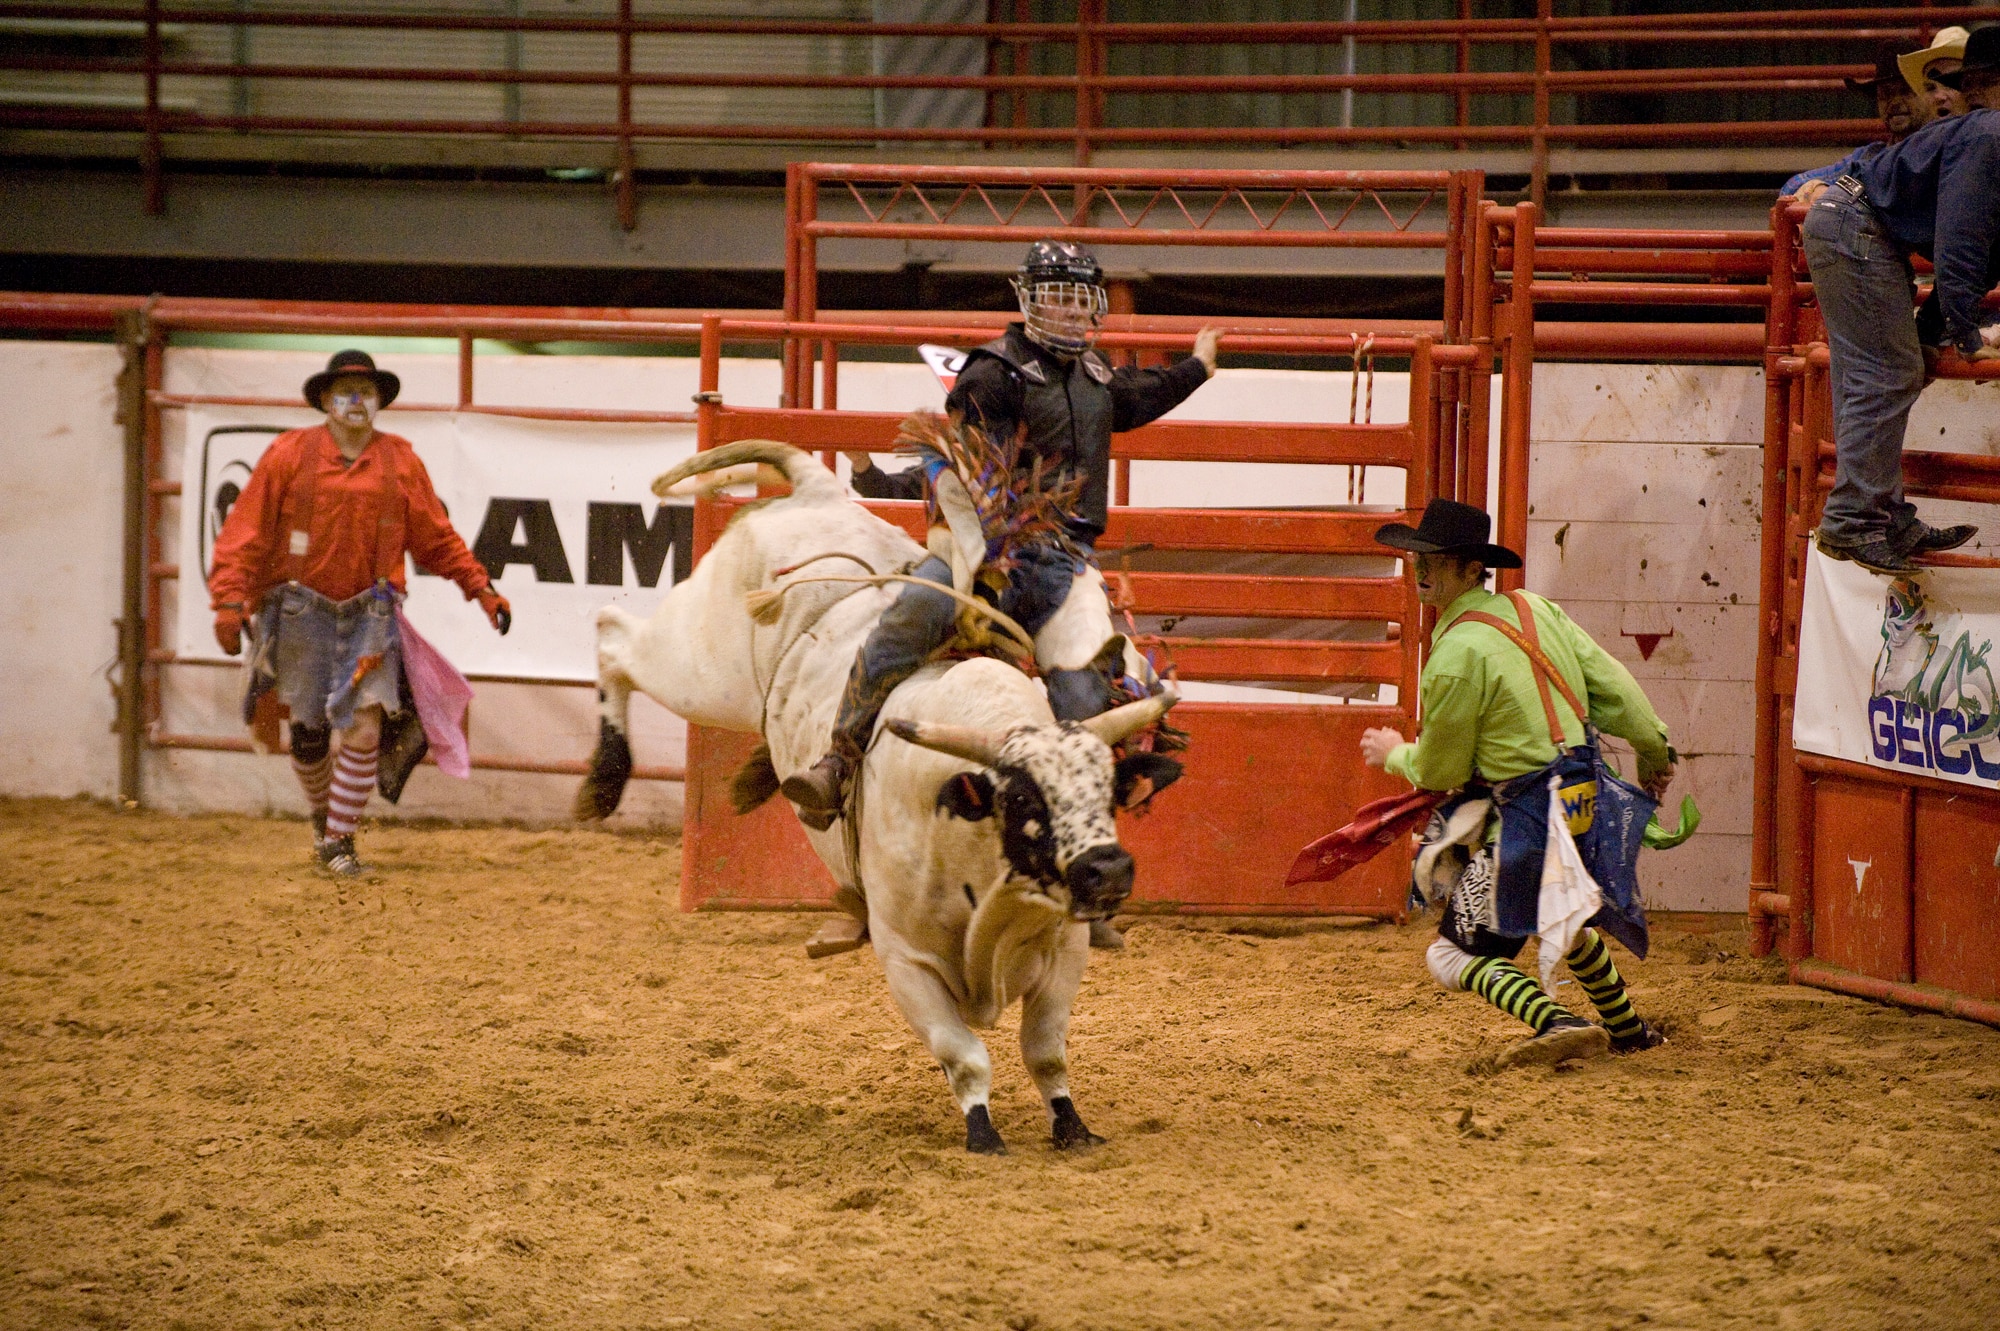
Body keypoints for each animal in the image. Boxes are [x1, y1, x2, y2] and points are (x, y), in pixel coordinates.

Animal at [576, 439, 1168, 1143]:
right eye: (1024, 799)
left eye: (1107, 791)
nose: (1109, 870)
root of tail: (816, 490)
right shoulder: (907, 962)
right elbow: (964, 1056)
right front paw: (982, 1132)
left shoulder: (1063, 950)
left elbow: (1045, 1050)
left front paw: (1072, 1125)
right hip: (700, 666)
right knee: (613, 635)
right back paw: (603, 782)